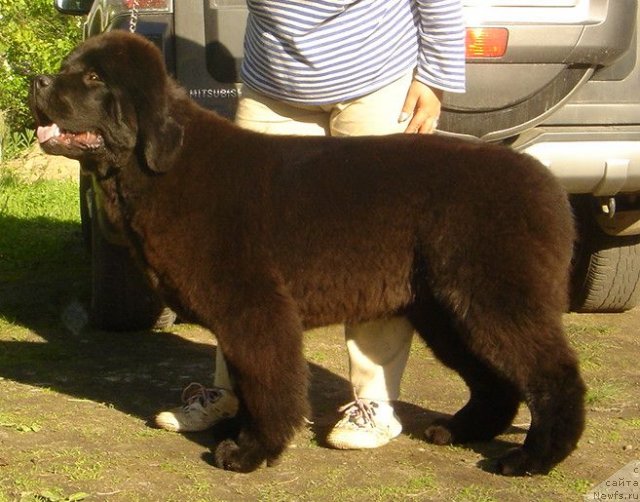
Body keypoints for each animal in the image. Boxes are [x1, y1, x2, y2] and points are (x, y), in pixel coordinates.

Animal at [33, 30, 584, 474]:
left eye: (93, 78)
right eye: (66, 66)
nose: (37, 81)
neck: (162, 170)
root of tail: (549, 186)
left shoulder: (254, 306)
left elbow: (267, 384)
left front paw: (251, 452)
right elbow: (245, 382)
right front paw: (235, 431)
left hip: (493, 298)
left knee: (554, 377)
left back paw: (533, 458)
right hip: (446, 311)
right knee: (497, 383)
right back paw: (458, 430)